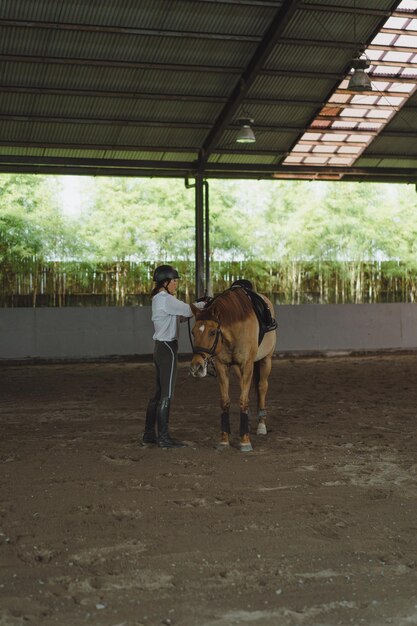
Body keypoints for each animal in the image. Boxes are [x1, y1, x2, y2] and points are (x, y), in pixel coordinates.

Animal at [189, 286, 276, 450]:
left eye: (212, 332)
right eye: (193, 332)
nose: (196, 367)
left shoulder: (247, 365)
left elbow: (244, 400)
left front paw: (245, 441)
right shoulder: (222, 365)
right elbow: (225, 401)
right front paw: (224, 439)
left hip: (266, 360)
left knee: (262, 387)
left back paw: (261, 425)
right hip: (236, 368)